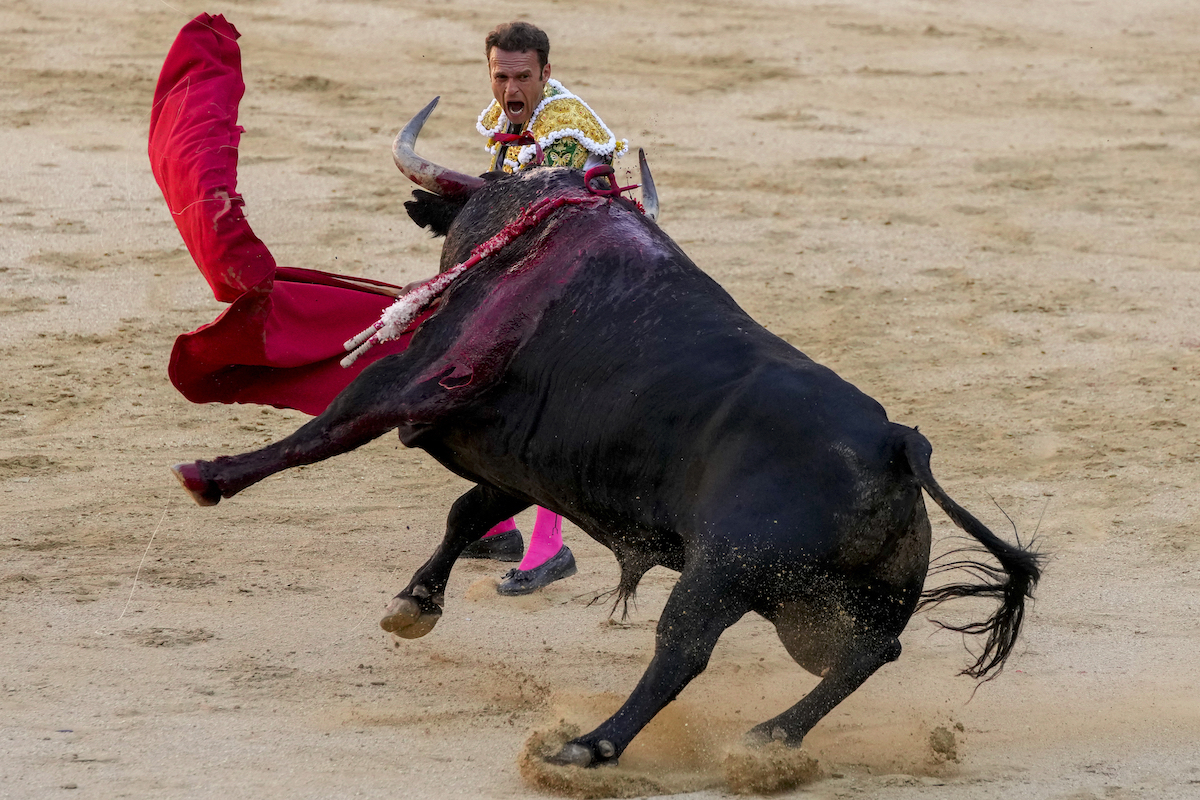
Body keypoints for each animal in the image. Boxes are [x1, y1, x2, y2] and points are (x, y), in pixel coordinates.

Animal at [171, 103, 1041, 767]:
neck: (533, 229)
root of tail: (897, 442)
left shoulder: (430, 375)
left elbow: (334, 425)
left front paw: (210, 474)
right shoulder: (518, 461)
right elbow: (467, 513)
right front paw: (413, 604)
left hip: (724, 572)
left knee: (682, 650)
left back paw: (586, 748)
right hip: (828, 602)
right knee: (864, 655)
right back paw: (766, 741)